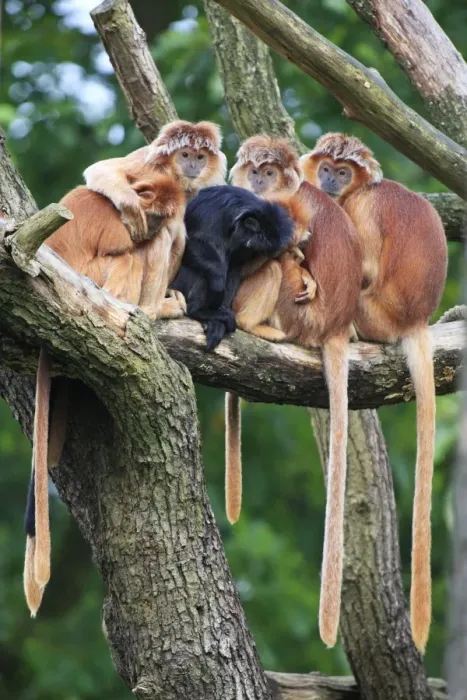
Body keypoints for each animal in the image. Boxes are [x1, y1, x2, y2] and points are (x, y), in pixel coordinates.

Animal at [24, 171, 186, 619]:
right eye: (154, 213)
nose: (153, 225)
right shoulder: (120, 225)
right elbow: (129, 246)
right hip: (93, 278)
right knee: (129, 257)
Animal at [84, 120, 227, 241]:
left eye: (200, 157)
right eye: (185, 155)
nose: (193, 166)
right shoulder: (145, 162)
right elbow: (101, 168)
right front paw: (131, 207)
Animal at [171, 185, 295, 350]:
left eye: (255, 252)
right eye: (251, 248)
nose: (247, 253)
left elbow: (235, 268)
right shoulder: (211, 211)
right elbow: (191, 242)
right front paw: (217, 286)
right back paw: (198, 310)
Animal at [300, 133, 448, 652]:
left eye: (343, 173)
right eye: (327, 167)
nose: (328, 180)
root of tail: (416, 319)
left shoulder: (360, 207)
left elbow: (359, 264)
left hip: (372, 313)